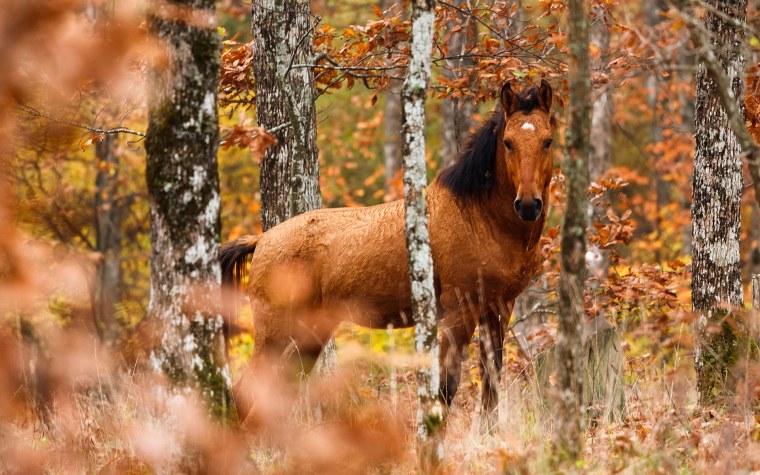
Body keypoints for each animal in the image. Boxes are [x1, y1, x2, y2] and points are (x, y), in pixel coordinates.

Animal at [221, 80, 555, 429]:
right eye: (508, 143)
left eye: (547, 141)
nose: (528, 205)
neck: (479, 217)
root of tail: (261, 240)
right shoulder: (459, 310)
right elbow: (446, 386)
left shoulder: (498, 308)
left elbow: (491, 383)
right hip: (276, 334)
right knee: (245, 394)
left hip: (309, 334)